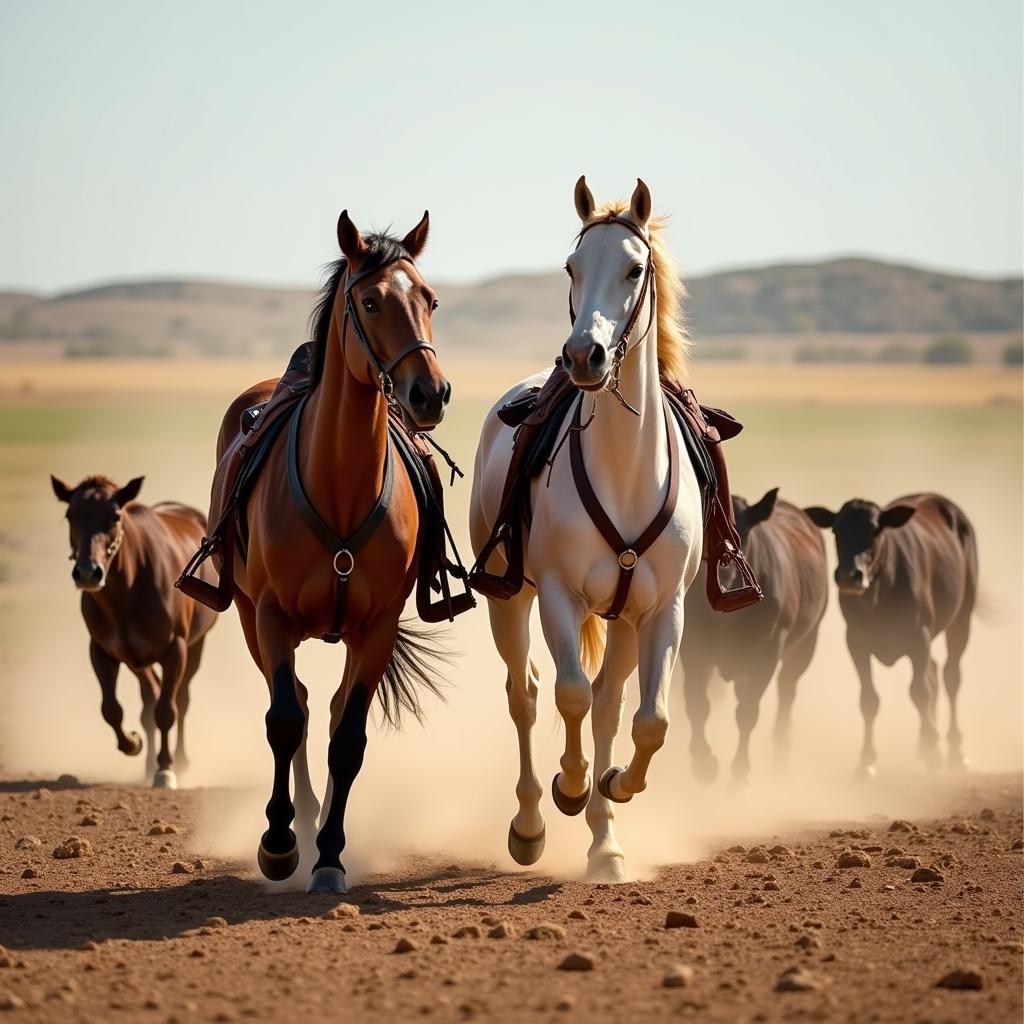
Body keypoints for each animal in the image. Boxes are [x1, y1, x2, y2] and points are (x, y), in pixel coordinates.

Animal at [50, 475, 215, 786]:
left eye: (115, 516)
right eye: (70, 515)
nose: (88, 573)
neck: (128, 589)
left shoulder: (175, 648)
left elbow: (167, 710)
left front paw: (166, 769)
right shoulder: (103, 651)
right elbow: (112, 709)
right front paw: (133, 743)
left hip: (195, 645)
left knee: (180, 698)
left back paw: (179, 761)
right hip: (138, 660)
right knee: (148, 701)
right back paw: (148, 762)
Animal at [214, 209, 450, 897]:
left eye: (429, 299)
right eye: (370, 301)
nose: (430, 393)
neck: (341, 486)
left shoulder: (377, 628)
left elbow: (348, 738)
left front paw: (330, 858)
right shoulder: (269, 615)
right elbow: (284, 721)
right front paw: (278, 845)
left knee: (334, 707)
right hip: (249, 619)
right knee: (291, 704)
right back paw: (296, 820)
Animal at [468, 176, 704, 880]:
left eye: (634, 269)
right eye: (572, 266)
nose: (583, 354)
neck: (625, 471)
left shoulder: (663, 611)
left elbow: (649, 720)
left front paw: (617, 785)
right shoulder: (556, 596)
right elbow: (567, 693)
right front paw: (570, 786)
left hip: (623, 623)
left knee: (609, 704)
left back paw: (606, 843)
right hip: (508, 602)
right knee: (526, 694)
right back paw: (530, 825)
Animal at [679, 487, 831, 782]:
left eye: (743, 536)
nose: (725, 576)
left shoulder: (767, 653)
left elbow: (748, 711)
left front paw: (740, 770)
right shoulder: (693, 651)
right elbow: (698, 704)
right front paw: (703, 763)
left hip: (806, 644)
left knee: (786, 691)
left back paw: (781, 752)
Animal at [802, 491, 978, 770]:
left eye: (875, 530)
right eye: (836, 530)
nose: (849, 576)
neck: (878, 597)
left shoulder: (919, 635)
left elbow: (919, 691)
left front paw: (934, 749)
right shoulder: (855, 640)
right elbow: (868, 699)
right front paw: (866, 761)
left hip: (963, 615)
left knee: (951, 676)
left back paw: (955, 750)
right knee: (933, 671)